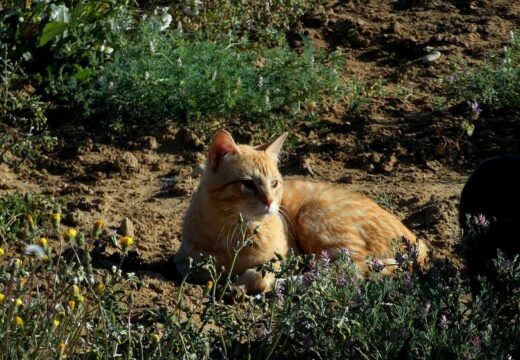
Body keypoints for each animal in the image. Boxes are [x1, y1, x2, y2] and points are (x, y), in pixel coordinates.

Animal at [177, 131, 428, 294]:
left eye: (274, 183)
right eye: (247, 184)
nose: (270, 202)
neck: (234, 231)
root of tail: (420, 242)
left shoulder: (282, 259)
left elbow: (258, 274)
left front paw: (246, 284)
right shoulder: (185, 261)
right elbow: (200, 270)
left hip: (315, 219)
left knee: (349, 273)